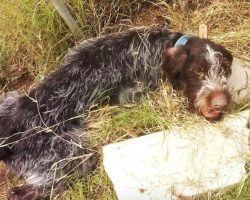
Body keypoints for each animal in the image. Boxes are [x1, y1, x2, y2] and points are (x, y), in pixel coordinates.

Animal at [0, 25, 232, 199]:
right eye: (197, 71)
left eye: (223, 68)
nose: (221, 103)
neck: (166, 43)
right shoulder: (133, 91)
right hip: (73, 154)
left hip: (9, 98)